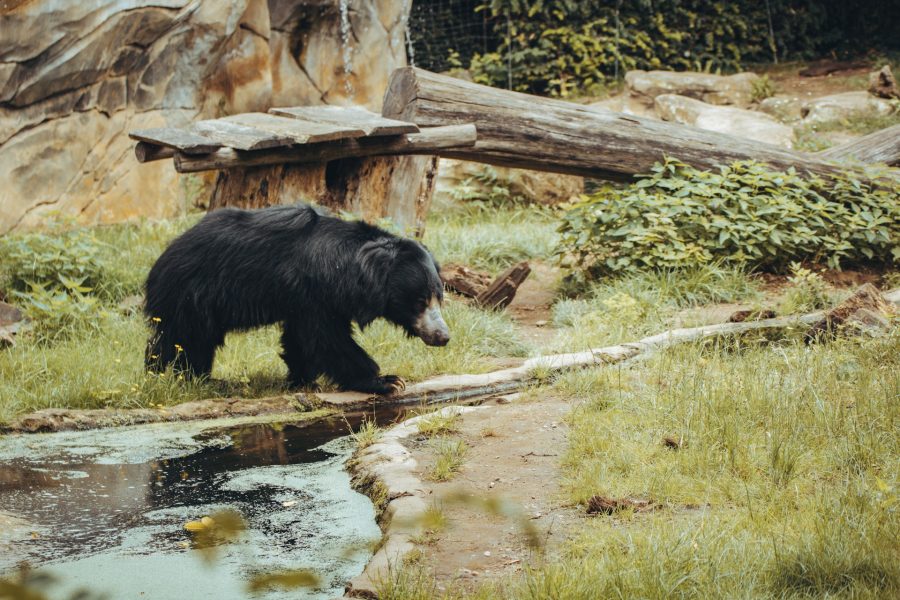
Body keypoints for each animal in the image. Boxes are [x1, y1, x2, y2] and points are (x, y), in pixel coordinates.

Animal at [143, 203, 450, 394]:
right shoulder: (313, 292)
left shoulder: (313, 300)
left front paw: (302, 381)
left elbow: (300, 340)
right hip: (192, 296)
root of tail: (163, 258)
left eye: (439, 297)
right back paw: (185, 378)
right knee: (186, 341)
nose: (443, 336)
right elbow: (326, 339)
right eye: (420, 301)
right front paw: (387, 381)